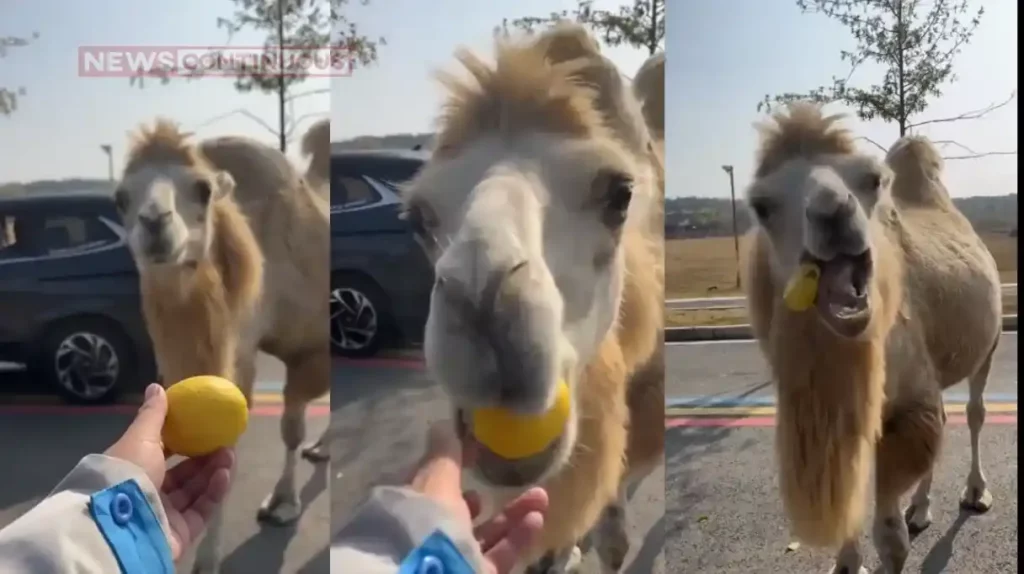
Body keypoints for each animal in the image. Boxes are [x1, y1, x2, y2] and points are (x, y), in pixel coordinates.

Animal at [114, 120, 331, 573]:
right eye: (120, 197)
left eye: (203, 189)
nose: (154, 222)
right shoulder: (238, 350)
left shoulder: (309, 348)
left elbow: (291, 429)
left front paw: (282, 504)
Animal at [742, 102, 1002, 573]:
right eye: (761, 205)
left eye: (872, 179)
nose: (832, 211)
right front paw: (848, 561)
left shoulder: (906, 405)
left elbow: (891, 540)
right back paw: (920, 507)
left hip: (988, 345)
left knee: (974, 411)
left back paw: (974, 492)